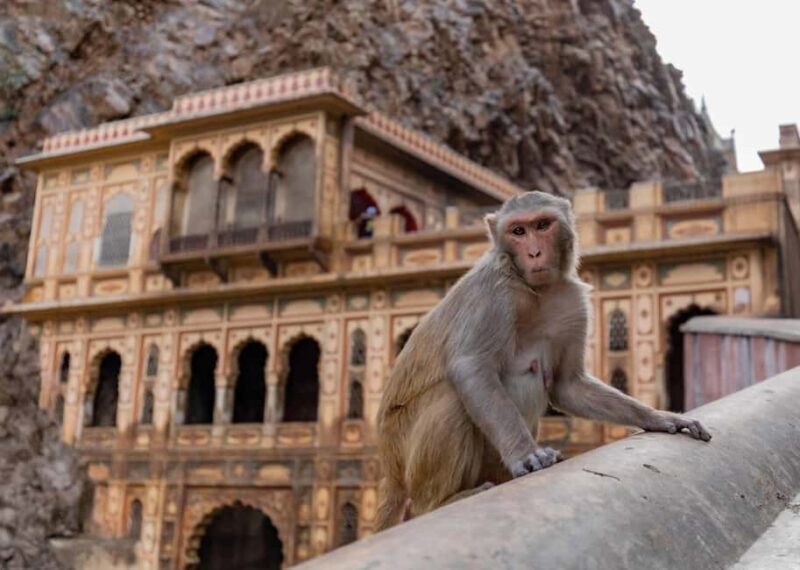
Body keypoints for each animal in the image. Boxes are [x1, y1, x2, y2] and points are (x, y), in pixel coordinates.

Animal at [375, 191, 711, 530]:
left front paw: (660, 418)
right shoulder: (492, 290)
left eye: (542, 225)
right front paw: (526, 454)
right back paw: (441, 501)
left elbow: (567, 385)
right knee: (451, 396)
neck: (535, 290)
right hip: (404, 450)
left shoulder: (572, 301)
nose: (535, 252)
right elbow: (470, 368)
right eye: (518, 231)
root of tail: (390, 467)